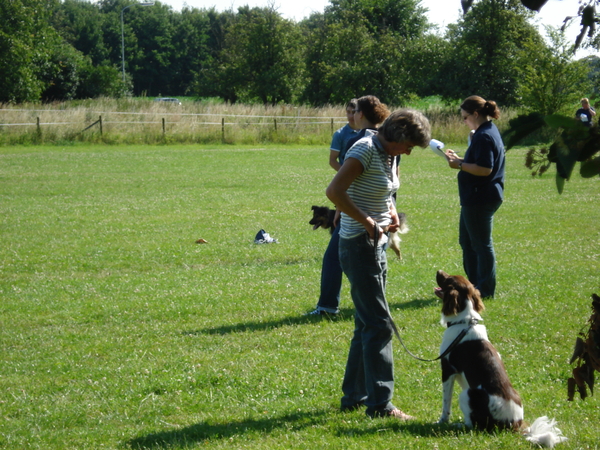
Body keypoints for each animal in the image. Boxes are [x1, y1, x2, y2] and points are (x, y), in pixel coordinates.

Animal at [434, 268, 524, 430]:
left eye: (448, 279)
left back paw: (457, 425)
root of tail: (513, 423)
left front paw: (442, 421)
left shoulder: (448, 369)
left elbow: (446, 402)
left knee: (473, 425)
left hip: (466, 394)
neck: (463, 322)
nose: (439, 270)